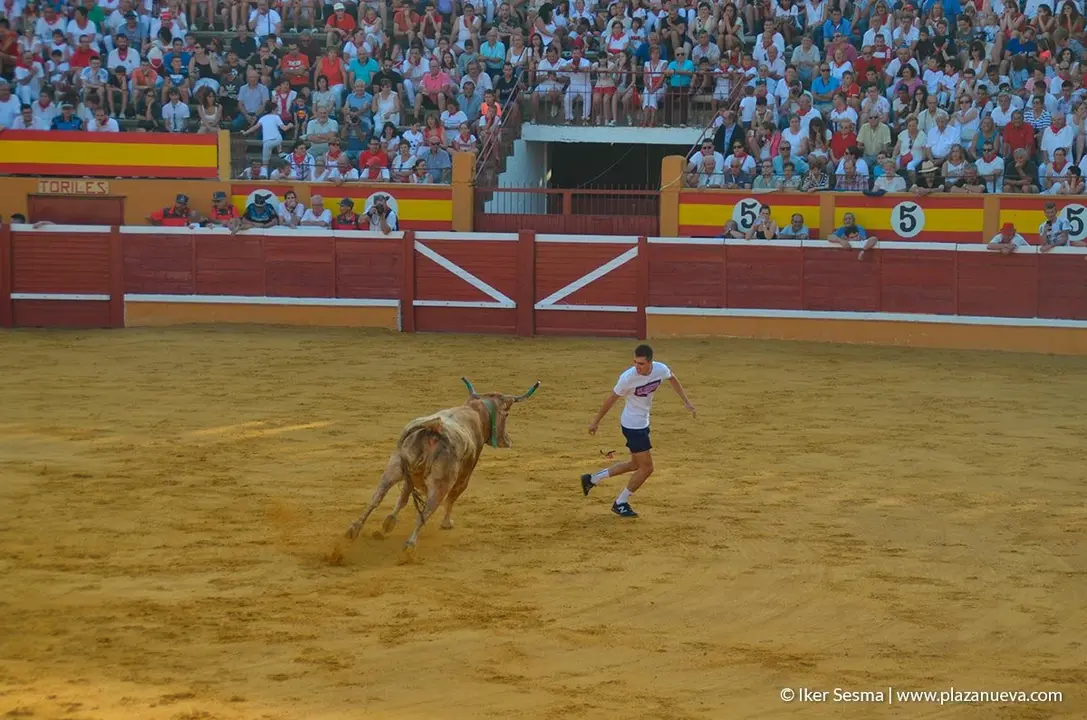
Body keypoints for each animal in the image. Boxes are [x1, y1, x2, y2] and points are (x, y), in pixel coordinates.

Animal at [339, 377, 540, 558]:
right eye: (506, 414)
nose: (508, 440)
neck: (474, 411)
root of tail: (433, 429)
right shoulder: (463, 478)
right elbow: (451, 499)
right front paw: (446, 523)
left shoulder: (410, 477)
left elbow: (402, 499)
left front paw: (389, 522)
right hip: (440, 485)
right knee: (424, 514)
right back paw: (409, 546)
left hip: (393, 469)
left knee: (376, 499)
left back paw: (353, 530)